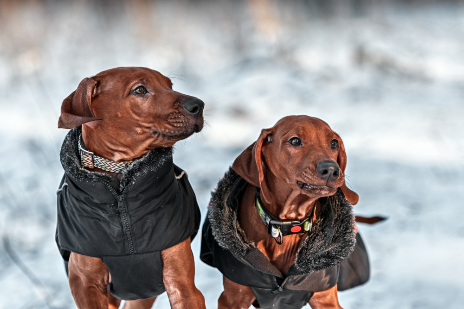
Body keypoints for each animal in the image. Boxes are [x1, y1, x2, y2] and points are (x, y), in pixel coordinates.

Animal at [201, 115, 364, 308]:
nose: (331, 170)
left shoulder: (326, 299)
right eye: (295, 141)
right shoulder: (232, 299)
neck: (288, 224)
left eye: (333, 143)